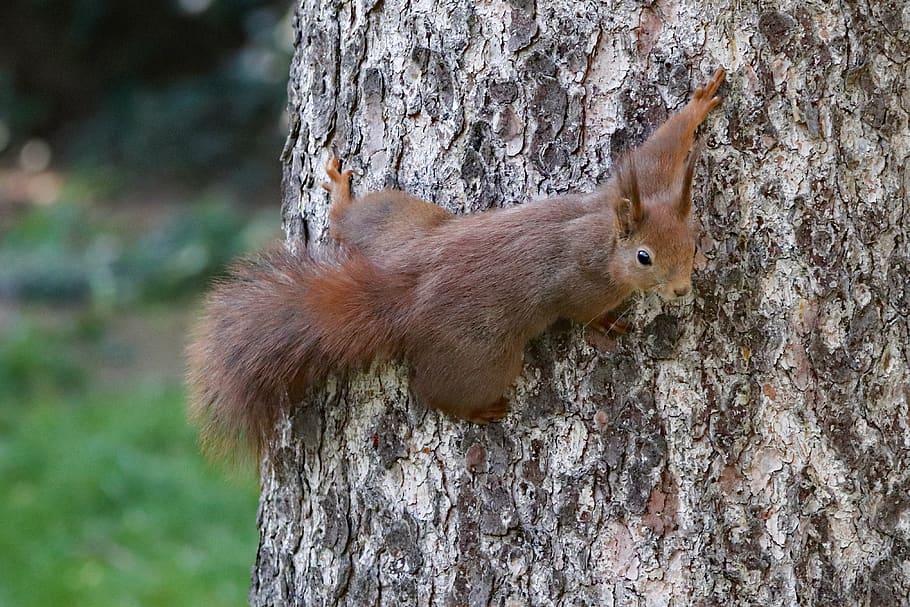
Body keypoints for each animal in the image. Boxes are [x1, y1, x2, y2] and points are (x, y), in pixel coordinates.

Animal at [187, 68, 725, 457]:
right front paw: (609, 324)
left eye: (694, 242)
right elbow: (581, 311)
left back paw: (340, 196)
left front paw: (699, 104)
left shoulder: (636, 186)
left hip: (398, 226)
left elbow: (659, 152)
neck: (603, 234)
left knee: (349, 222)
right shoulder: (582, 280)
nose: (681, 290)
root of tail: (408, 292)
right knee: (433, 391)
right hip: (482, 355)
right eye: (644, 257)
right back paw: (474, 411)